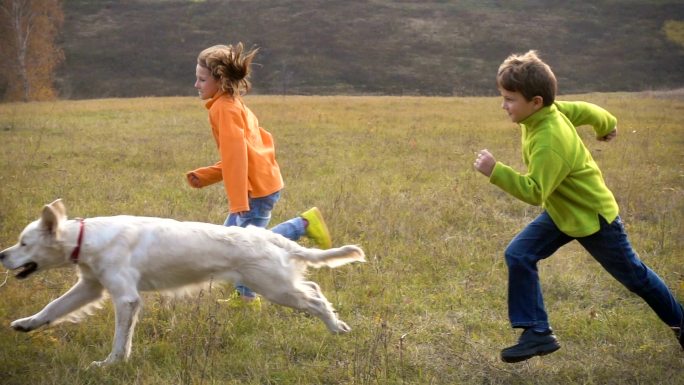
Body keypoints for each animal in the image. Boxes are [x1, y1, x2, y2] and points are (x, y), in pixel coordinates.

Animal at [1, 200, 364, 364]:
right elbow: (53, 307)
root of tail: (268, 236)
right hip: (279, 284)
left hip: (274, 286)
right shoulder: (91, 286)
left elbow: (120, 339)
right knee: (314, 289)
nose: (2, 255)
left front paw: (110, 364)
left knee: (315, 300)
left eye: (23, 243)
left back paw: (337, 327)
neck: (88, 238)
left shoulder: (126, 297)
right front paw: (25, 324)